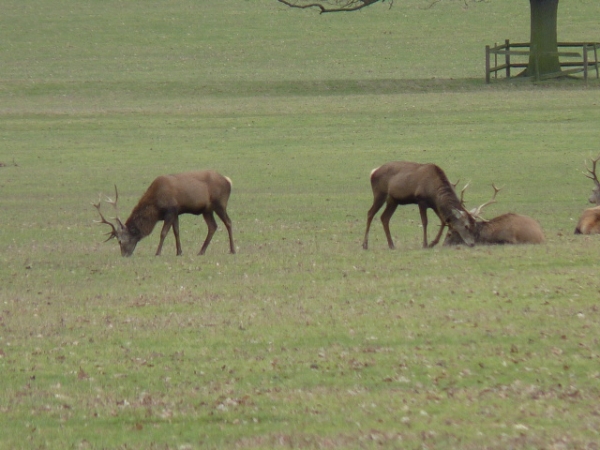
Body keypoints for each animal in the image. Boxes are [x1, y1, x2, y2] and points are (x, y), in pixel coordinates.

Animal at [93, 171, 234, 256]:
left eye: (120, 241)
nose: (124, 255)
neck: (155, 208)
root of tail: (228, 181)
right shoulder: (176, 212)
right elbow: (176, 231)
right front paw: (179, 252)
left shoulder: (170, 210)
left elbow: (163, 232)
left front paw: (157, 252)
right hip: (207, 209)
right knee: (213, 226)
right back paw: (201, 251)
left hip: (219, 203)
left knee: (228, 222)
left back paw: (232, 250)